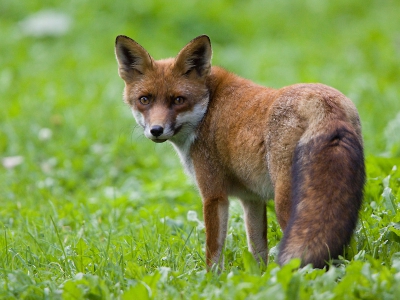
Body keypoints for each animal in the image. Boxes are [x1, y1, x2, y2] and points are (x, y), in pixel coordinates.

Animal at [114, 34, 364, 270]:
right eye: (144, 99)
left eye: (178, 100)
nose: (156, 130)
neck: (208, 108)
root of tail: (324, 103)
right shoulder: (251, 198)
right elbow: (258, 250)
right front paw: (263, 278)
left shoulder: (213, 194)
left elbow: (213, 252)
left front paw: (212, 281)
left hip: (287, 205)